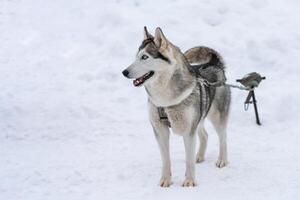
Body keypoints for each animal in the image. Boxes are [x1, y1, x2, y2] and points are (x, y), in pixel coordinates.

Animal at [121, 27, 230, 187]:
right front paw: (166, 180)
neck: (165, 99)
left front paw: (189, 181)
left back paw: (222, 160)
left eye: (145, 57)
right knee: (205, 135)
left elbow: (188, 160)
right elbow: (166, 160)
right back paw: (199, 156)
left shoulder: (188, 131)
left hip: (217, 118)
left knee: (223, 138)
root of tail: (214, 63)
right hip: (199, 117)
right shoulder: (160, 130)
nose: (124, 72)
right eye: (136, 57)